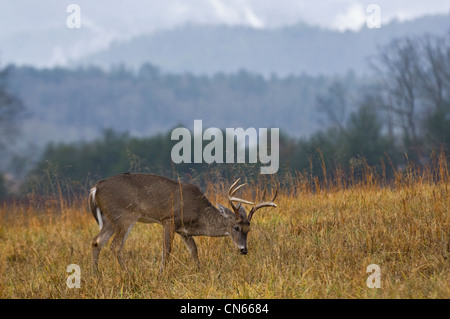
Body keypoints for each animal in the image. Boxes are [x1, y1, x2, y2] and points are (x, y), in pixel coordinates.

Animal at [88, 174, 276, 274]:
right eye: (236, 228)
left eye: (249, 229)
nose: (244, 250)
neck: (199, 214)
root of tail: (95, 189)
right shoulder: (169, 220)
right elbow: (167, 249)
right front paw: (161, 274)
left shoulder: (184, 231)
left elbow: (194, 250)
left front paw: (200, 271)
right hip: (124, 215)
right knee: (115, 246)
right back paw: (128, 274)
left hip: (109, 219)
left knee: (96, 242)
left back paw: (97, 275)